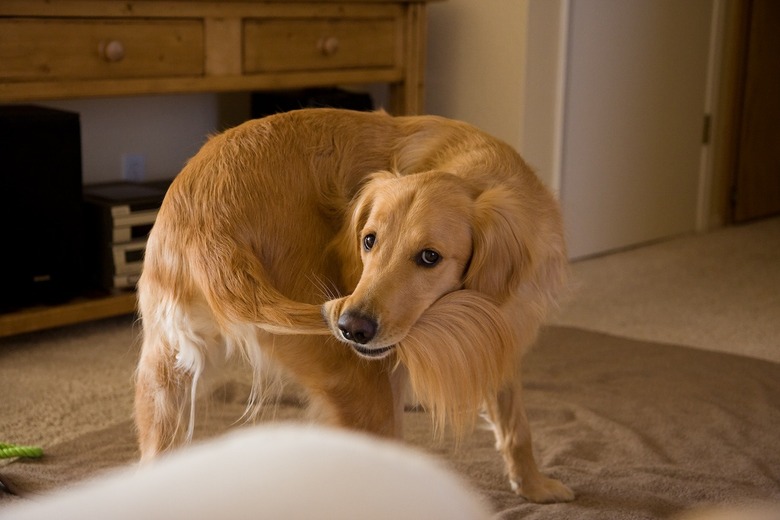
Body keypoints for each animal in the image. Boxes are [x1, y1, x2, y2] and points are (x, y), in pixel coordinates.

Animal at [136, 107, 572, 502]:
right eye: (369, 240)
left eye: (430, 257)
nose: (351, 327)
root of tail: (205, 215)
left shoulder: (500, 337)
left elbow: (515, 424)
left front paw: (533, 486)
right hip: (358, 381)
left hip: (165, 378)